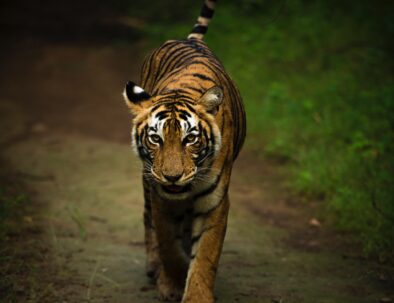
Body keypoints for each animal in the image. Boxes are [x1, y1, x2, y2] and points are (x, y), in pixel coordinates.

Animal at [123, 1, 246, 302]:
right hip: (147, 181)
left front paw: (196, 294)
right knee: (149, 221)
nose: (172, 177)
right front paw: (172, 283)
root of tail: (189, 39)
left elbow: (205, 257)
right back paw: (153, 267)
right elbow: (169, 244)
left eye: (190, 139)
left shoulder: (215, 202)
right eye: (155, 139)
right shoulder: (160, 198)